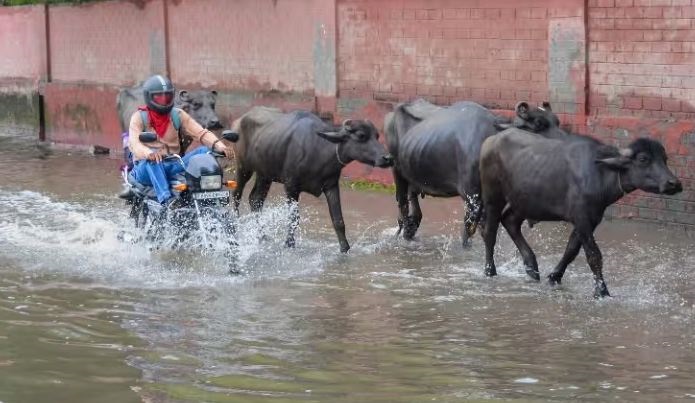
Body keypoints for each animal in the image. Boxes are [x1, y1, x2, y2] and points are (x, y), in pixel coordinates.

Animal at [234, 107, 394, 252]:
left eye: (377, 135)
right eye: (361, 135)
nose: (388, 158)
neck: (318, 149)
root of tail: (240, 120)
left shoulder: (331, 186)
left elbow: (338, 220)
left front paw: (345, 249)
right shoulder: (291, 186)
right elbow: (293, 218)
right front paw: (289, 244)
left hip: (264, 175)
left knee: (256, 199)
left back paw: (262, 236)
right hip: (243, 167)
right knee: (237, 194)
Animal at [386, 99, 564, 248]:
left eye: (557, 121)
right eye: (539, 123)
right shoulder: (473, 197)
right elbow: (473, 229)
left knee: (414, 211)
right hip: (397, 172)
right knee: (402, 207)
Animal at [482, 131, 684, 298]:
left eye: (665, 159)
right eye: (643, 159)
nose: (674, 183)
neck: (601, 173)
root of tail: (490, 140)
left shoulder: (591, 220)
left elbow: (571, 250)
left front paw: (554, 276)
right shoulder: (582, 218)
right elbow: (594, 255)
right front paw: (601, 291)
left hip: (522, 202)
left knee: (510, 221)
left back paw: (532, 268)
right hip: (493, 198)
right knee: (489, 232)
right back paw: (490, 271)